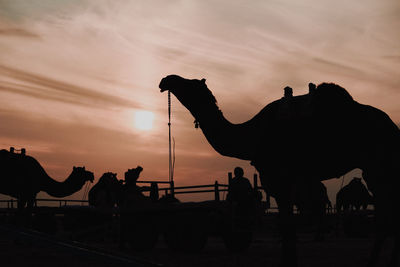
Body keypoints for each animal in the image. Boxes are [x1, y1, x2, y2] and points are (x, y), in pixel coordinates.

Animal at [159, 75, 400, 267]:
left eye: (189, 83)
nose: (166, 80)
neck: (252, 136)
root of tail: (393, 127)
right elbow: (287, 225)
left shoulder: (279, 177)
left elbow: (286, 225)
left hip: (378, 165)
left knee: (385, 216)